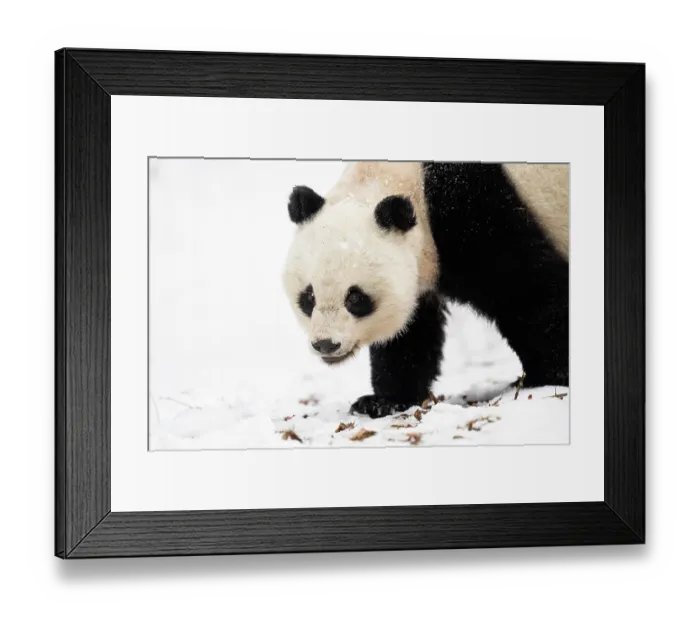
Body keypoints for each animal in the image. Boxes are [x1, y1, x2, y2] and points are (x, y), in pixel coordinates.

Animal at [282, 161, 569, 419]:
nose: (326, 344)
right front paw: (383, 401)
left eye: (354, 297)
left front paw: (545, 377)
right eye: (309, 297)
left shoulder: (477, 213)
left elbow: (526, 290)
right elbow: (410, 334)